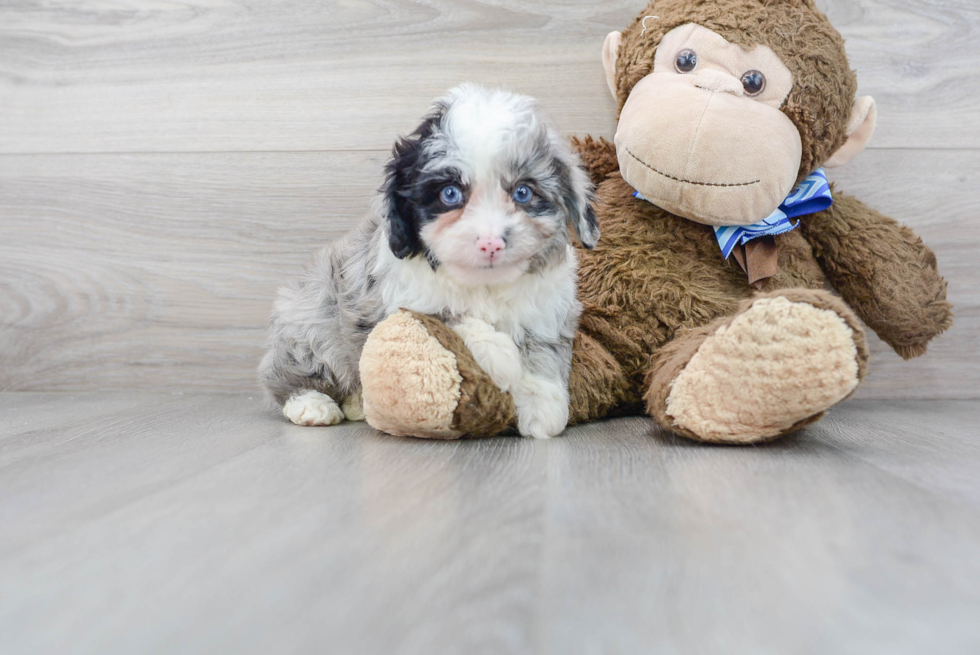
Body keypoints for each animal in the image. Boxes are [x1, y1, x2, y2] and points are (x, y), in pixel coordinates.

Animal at [258, 83, 596, 440]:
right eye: (450, 194)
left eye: (523, 192)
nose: (490, 243)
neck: (485, 283)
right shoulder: (407, 303)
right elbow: (453, 318)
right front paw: (502, 356)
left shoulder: (547, 310)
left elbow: (543, 351)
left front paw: (543, 404)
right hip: (311, 327)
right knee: (286, 376)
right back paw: (312, 404)